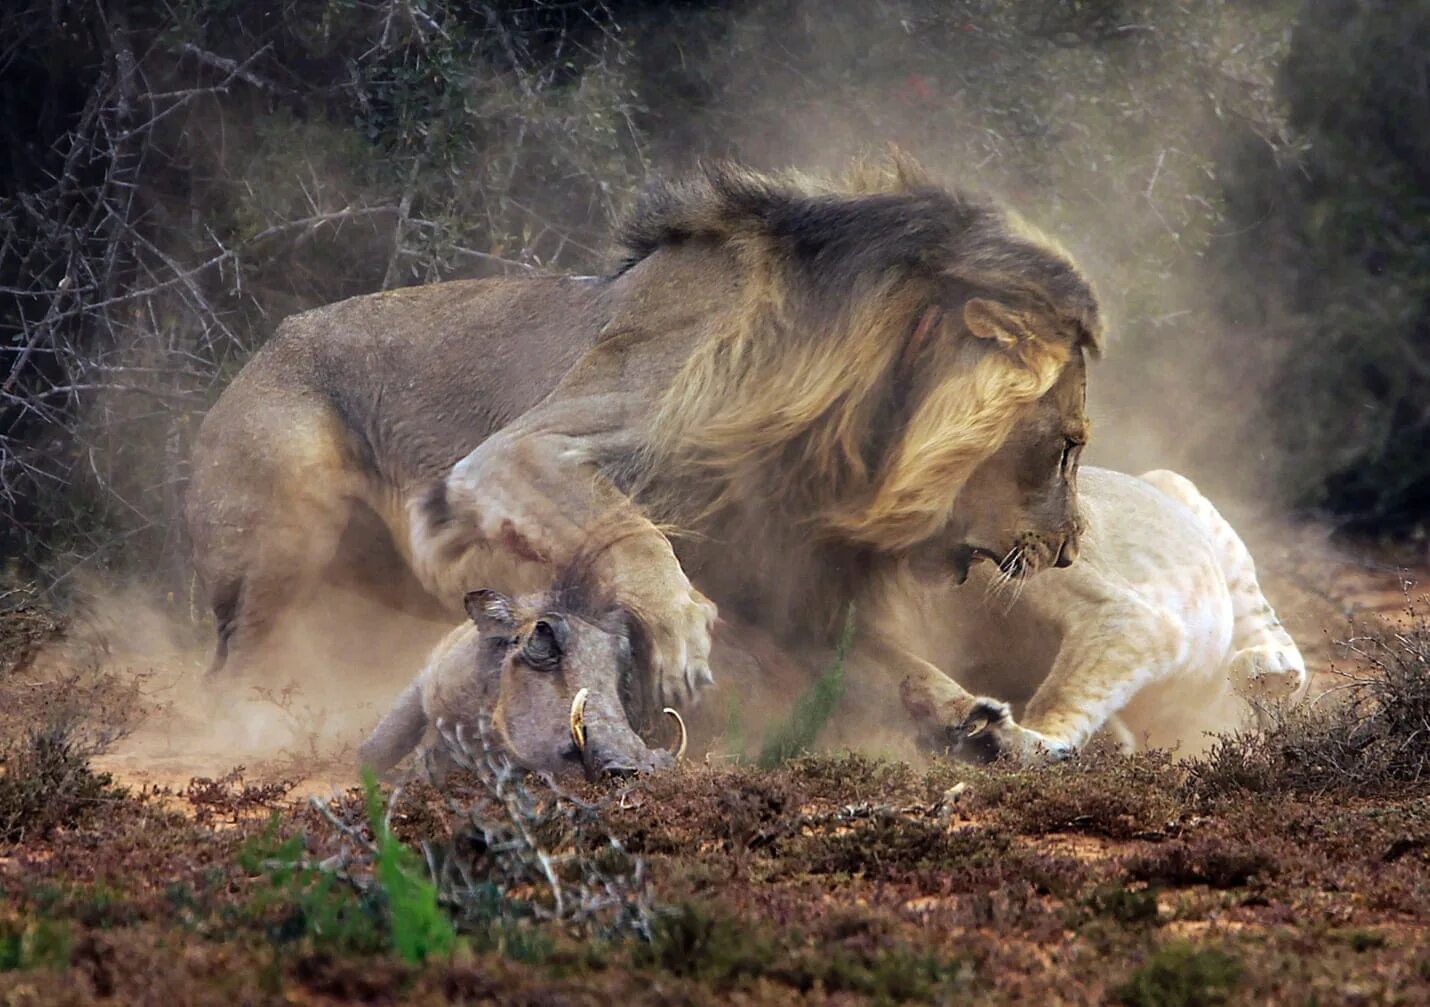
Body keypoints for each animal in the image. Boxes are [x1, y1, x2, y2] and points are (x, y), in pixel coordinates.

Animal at [184, 157, 1098, 749]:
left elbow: (896, 667)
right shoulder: (518, 452)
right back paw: (258, 725)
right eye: (1067, 449)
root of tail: (250, 359)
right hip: (288, 520)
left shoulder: (781, 584)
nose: (1068, 549)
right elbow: (633, 533)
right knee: (234, 666)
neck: (842, 432)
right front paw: (682, 633)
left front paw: (989, 727)